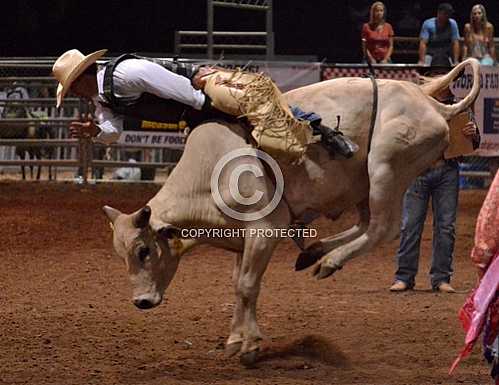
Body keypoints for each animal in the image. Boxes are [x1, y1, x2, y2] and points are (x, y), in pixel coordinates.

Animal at [103, 58, 482, 364]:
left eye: (144, 250)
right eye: (122, 255)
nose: (141, 302)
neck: (210, 171)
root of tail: (431, 103)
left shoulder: (264, 231)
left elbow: (247, 286)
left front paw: (250, 347)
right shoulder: (241, 239)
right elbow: (239, 285)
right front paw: (236, 339)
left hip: (386, 168)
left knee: (382, 228)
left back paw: (329, 261)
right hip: (363, 184)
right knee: (365, 224)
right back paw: (314, 252)